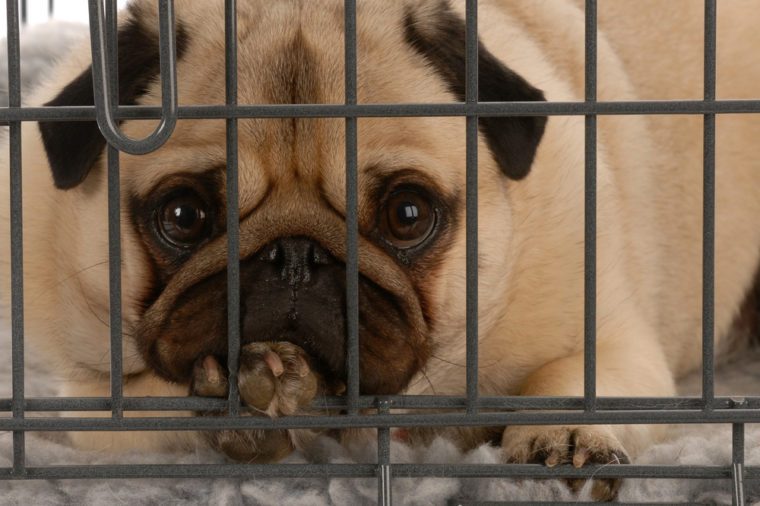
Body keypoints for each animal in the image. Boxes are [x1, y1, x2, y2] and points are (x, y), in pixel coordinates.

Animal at [1, 0, 760, 500]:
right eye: (184, 216)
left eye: (407, 215)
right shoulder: (90, 401)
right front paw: (249, 399)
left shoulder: (614, 341)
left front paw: (564, 436)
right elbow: (152, 403)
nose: (294, 257)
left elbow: (574, 382)